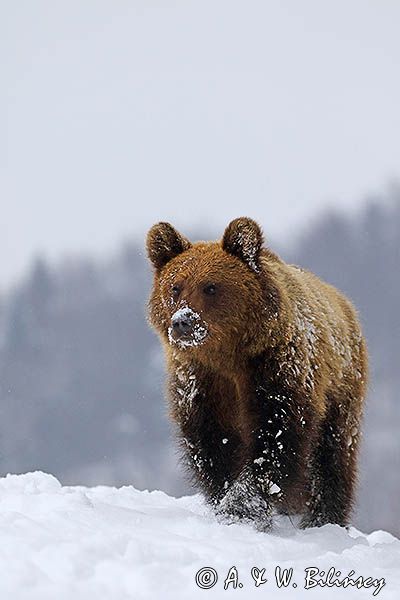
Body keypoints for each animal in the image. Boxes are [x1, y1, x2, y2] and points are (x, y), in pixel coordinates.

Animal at [145, 216, 368, 528]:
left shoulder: (276, 370)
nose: (183, 322)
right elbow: (213, 444)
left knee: (332, 455)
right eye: (175, 286)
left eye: (210, 287)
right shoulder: (201, 383)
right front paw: (227, 500)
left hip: (342, 389)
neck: (228, 356)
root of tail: (346, 305)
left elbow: (276, 437)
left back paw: (324, 518)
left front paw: (243, 507)